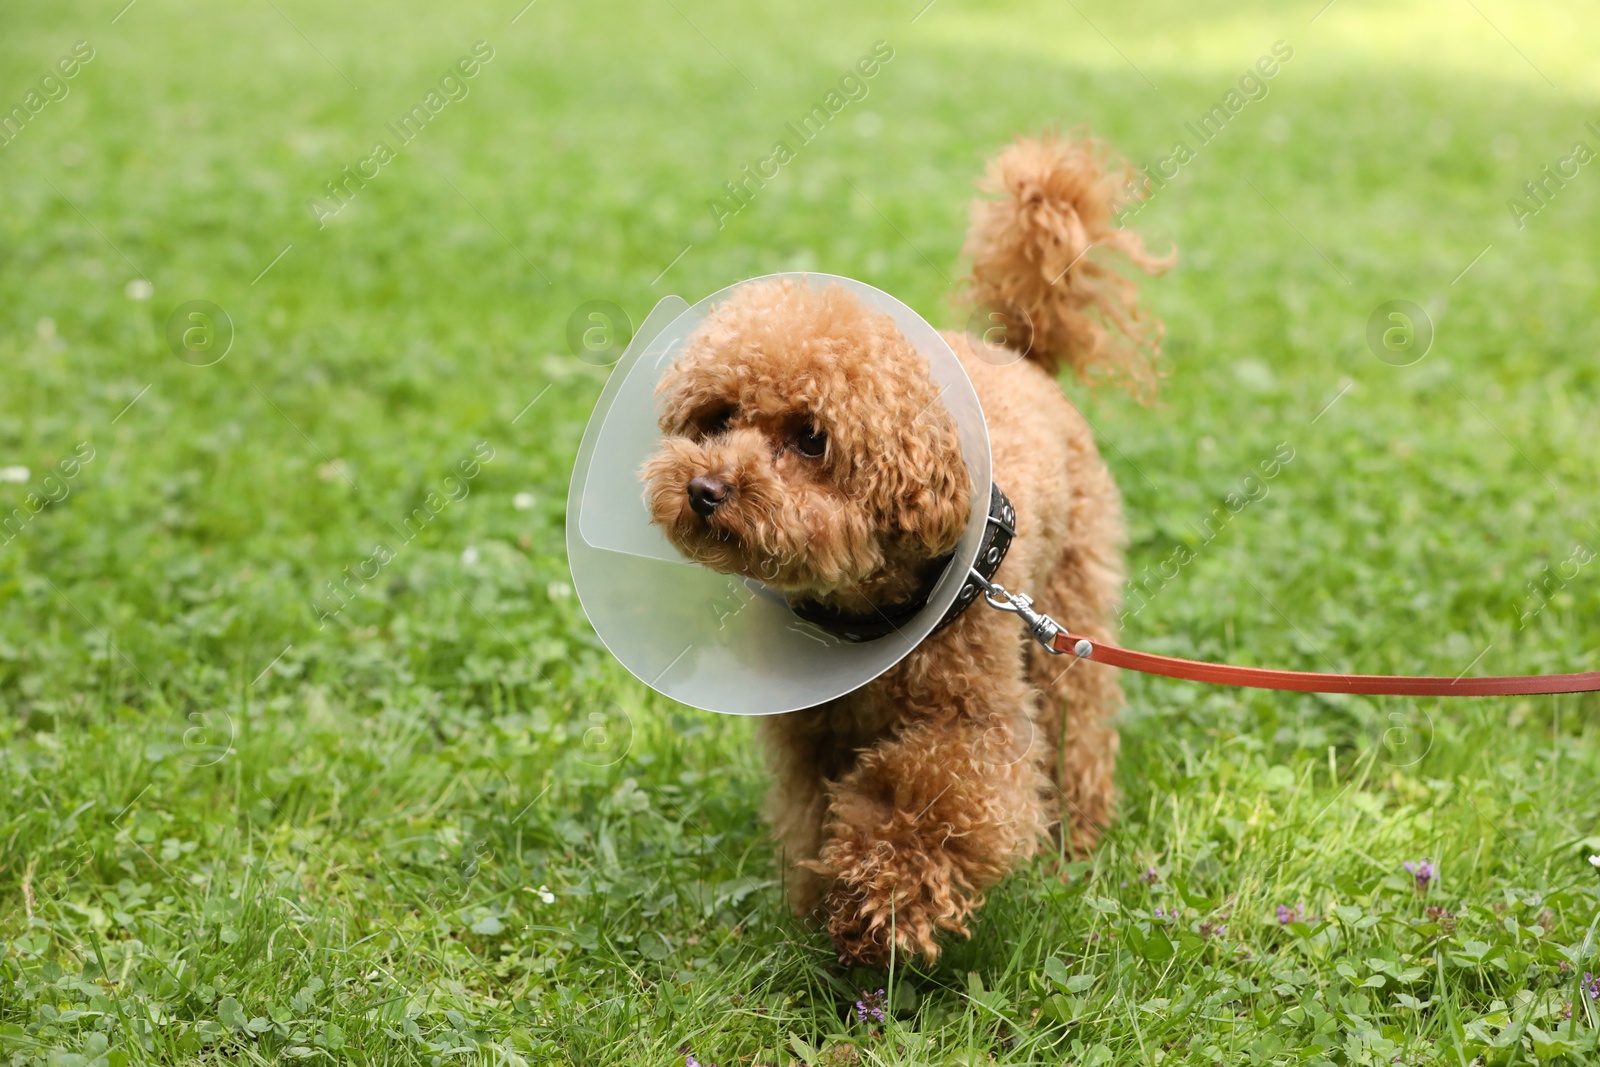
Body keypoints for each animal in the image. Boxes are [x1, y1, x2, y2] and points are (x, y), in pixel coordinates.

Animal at [640, 129, 1177, 966]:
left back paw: (1078, 840)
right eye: (717, 417)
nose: (704, 489)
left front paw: (877, 909)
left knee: (1076, 725)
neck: (861, 618)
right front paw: (820, 904)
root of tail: (1021, 355)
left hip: (1068, 606)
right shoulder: (810, 735)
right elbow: (814, 815)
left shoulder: (975, 724)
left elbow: (931, 802)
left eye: (812, 439)